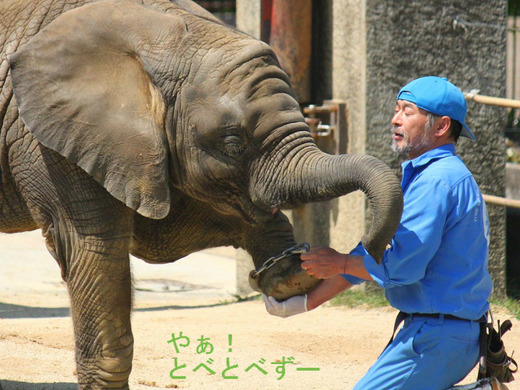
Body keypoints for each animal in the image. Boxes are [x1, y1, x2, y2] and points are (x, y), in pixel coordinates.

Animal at [0, 0, 402, 386]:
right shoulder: (50, 137)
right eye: (233, 143)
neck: (156, 33)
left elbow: (162, 236)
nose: (368, 247)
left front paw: (288, 272)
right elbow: (95, 247)